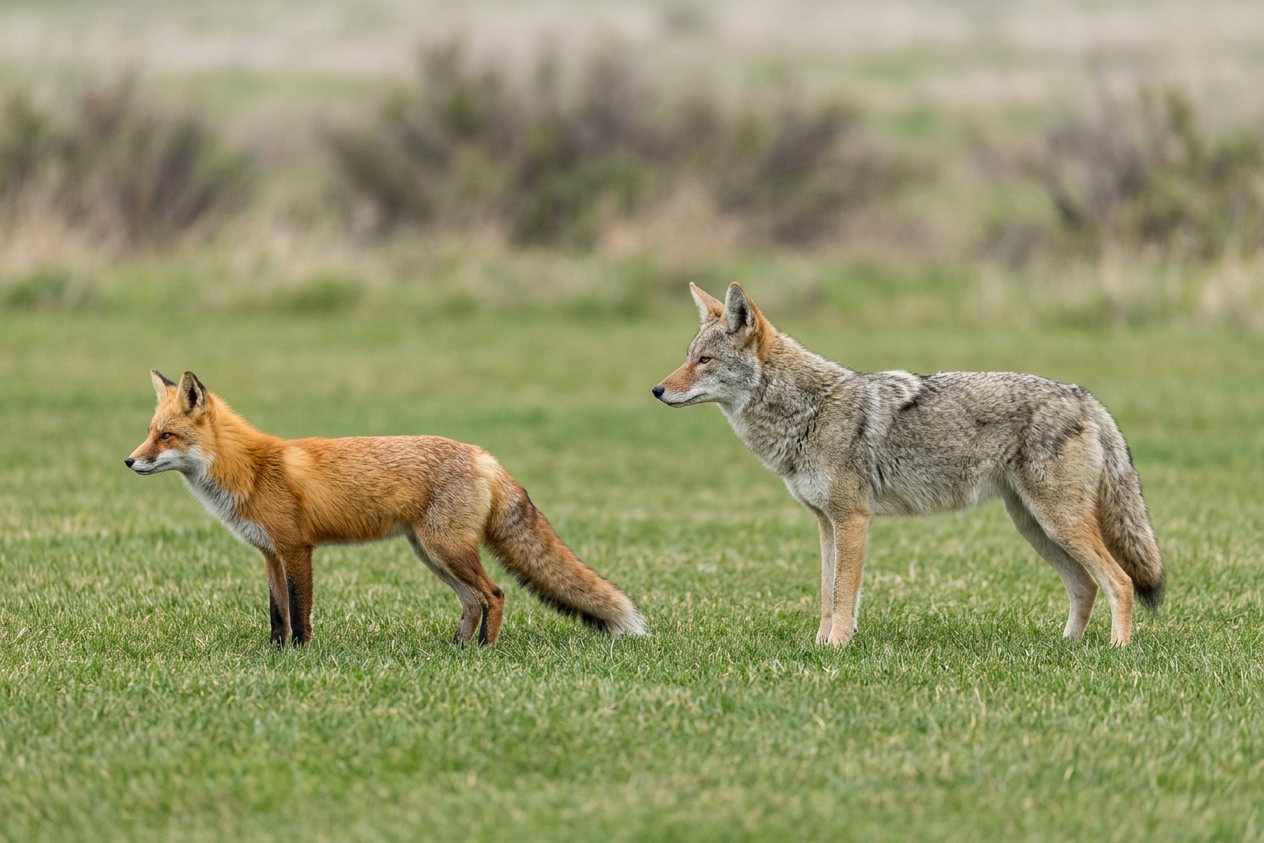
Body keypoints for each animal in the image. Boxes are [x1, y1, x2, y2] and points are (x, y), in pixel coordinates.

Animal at [126, 369, 646, 646]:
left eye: (166, 436)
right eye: (150, 432)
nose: (129, 461)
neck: (250, 469)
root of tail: (483, 455)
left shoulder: (297, 550)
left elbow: (300, 611)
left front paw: (299, 656)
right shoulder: (270, 554)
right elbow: (277, 613)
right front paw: (274, 654)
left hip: (446, 549)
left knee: (494, 594)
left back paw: (485, 649)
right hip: (432, 553)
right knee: (472, 600)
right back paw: (457, 649)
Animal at [653, 283, 1164, 647]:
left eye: (705, 360)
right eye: (688, 357)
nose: (657, 391)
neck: (809, 410)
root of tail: (1083, 394)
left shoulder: (853, 520)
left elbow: (843, 593)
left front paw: (837, 648)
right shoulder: (825, 523)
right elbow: (825, 594)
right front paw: (818, 646)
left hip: (1059, 524)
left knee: (1119, 581)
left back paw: (1116, 650)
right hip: (1036, 528)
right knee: (1087, 586)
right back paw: (1067, 648)